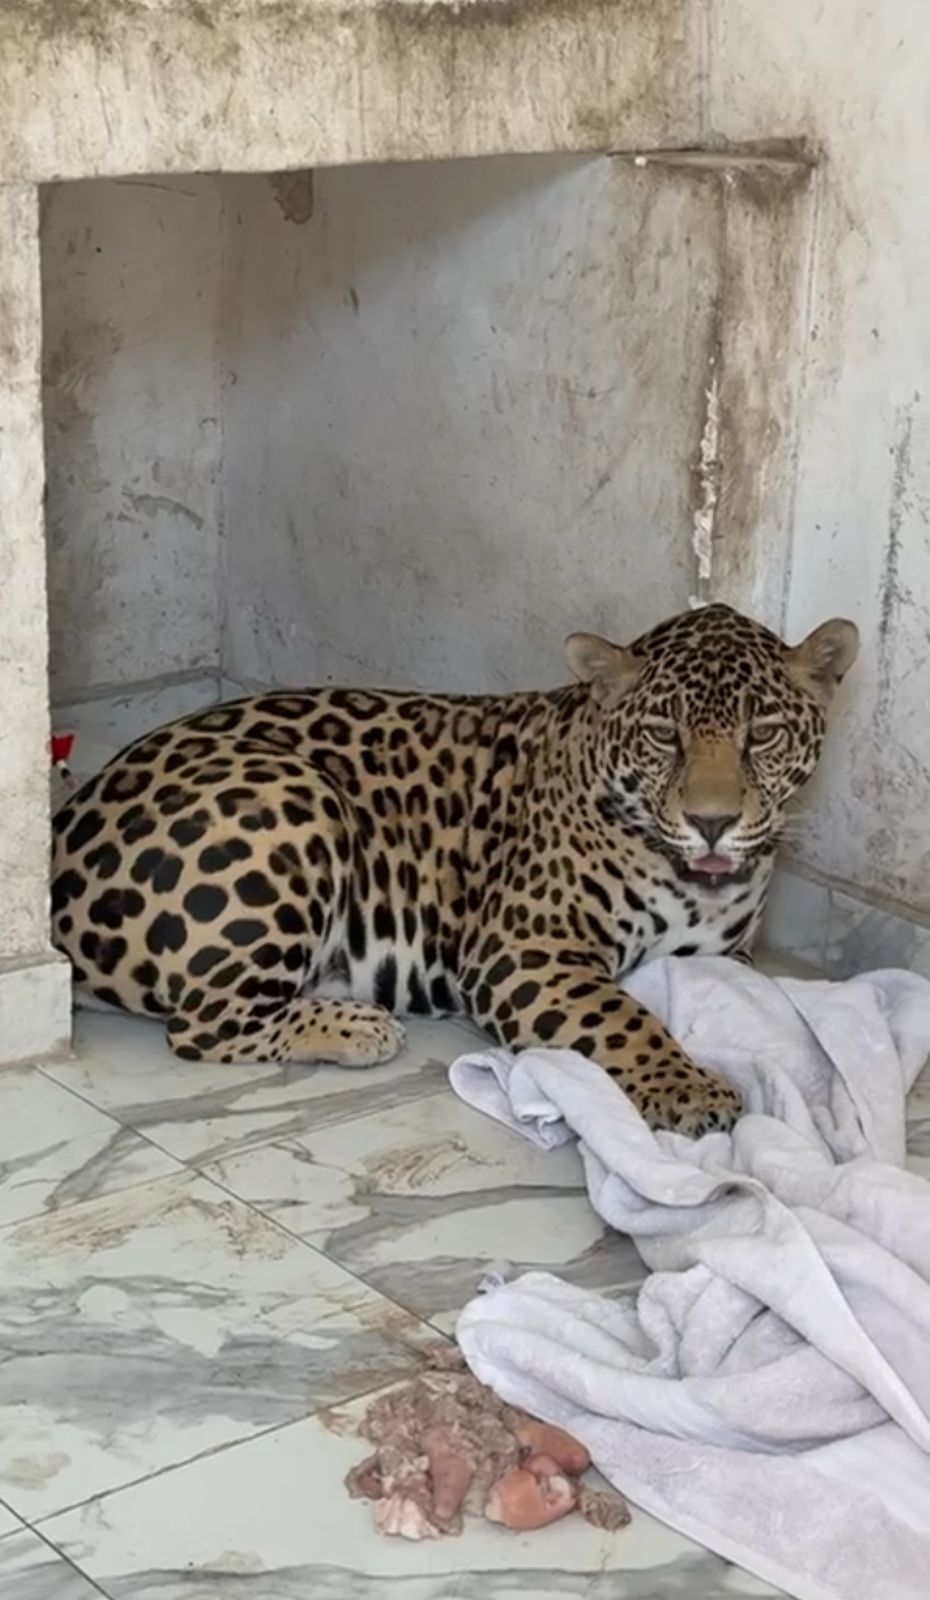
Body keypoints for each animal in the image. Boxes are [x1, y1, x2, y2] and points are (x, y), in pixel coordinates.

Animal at [50, 602, 858, 1136]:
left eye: (764, 734)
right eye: (664, 736)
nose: (711, 822)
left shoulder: (725, 955)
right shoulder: (524, 950)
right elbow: (624, 1018)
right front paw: (689, 1091)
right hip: (293, 796)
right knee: (204, 1026)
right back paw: (357, 1026)